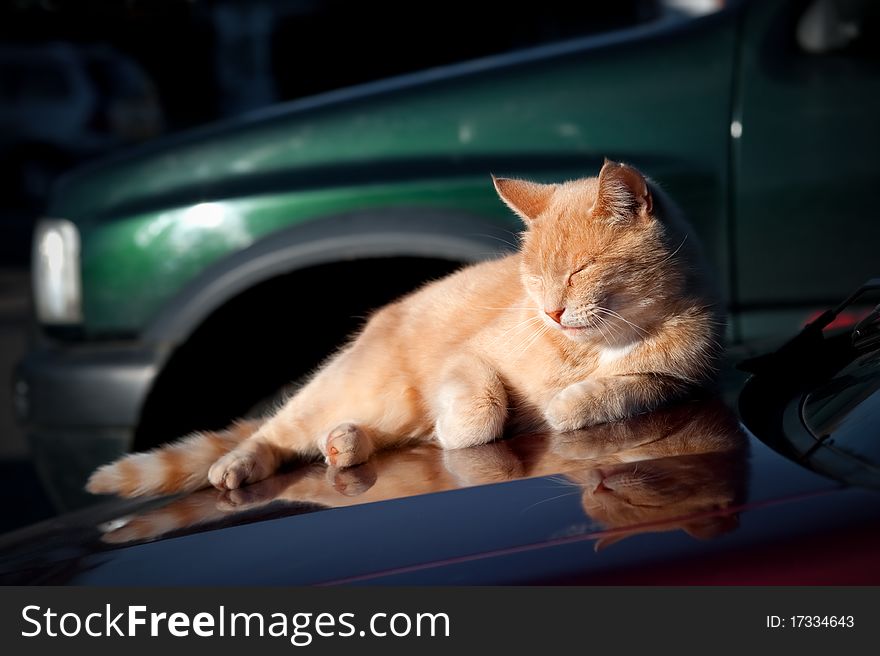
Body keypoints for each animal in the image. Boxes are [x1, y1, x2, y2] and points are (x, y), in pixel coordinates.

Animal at [87, 159, 720, 498]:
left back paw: (345, 443)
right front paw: (466, 430)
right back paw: (243, 464)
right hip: (361, 389)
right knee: (274, 432)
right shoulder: (467, 360)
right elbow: (482, 408)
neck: (596, 346)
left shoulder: (689, 375)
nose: (551, 313)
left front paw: (576, 401)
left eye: (580, 271)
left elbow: (629, 389)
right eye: (535, 278)